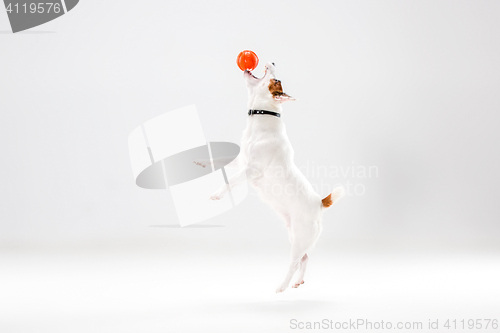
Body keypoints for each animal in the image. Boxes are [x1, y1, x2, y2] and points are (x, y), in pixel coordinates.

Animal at [200, 61, 344, 290]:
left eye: (276, 80)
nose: (273, 61)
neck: (261, 117)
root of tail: (320, 203)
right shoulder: (241, 161)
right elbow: (219, 160)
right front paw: (201, 162)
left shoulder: (252, 169)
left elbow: (231, 180)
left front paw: (217, 194)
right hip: (294, 235)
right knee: (305, 259)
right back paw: (297, 282)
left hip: (300, 238)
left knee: (294, 262)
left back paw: (282, 286)